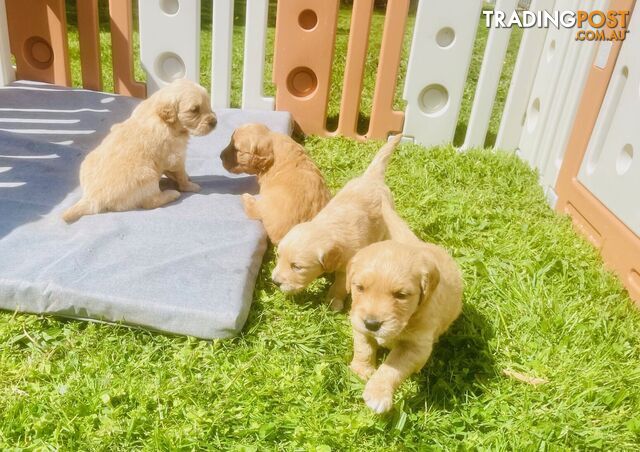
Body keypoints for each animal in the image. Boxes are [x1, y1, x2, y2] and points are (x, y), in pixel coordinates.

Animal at [62, 80, 218, 224]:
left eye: (208, 104)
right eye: (194, 110)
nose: (214, 122)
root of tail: (92, 198)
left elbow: (175, 173)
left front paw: (185, 178)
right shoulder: (175, 157)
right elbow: (181, 175)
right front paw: (190, 185)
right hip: (147, 175)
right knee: (150, 202)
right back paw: (171, 193)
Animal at [270, 134, 400, 310]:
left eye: (297, 267)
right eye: (278, 257)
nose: (275, 282)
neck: (328, 228)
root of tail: (372, 178)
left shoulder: (347, 268)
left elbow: (339, 286)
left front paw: (334, 302)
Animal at [348, 201, 462, 414]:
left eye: (401, 295)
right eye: (359, 287)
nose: (372, 324)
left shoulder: (417, 347)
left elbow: (391, 367)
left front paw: (377, 393)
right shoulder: (357, 321)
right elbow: (363, 347)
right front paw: (361, 370)